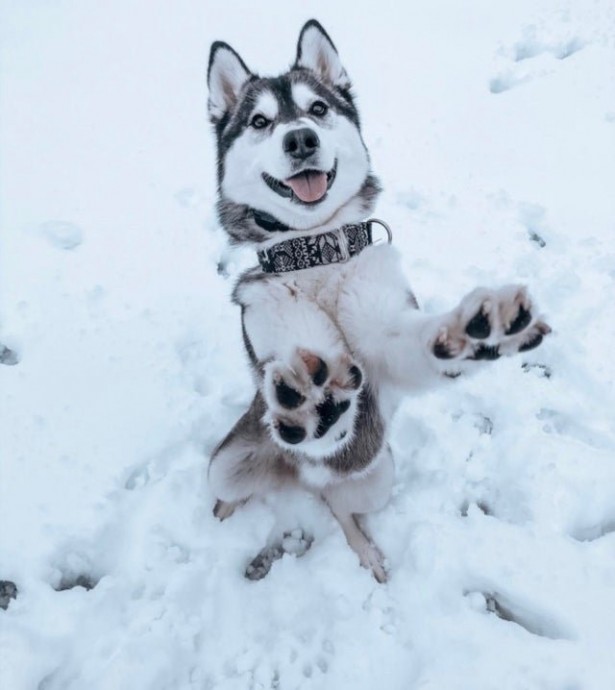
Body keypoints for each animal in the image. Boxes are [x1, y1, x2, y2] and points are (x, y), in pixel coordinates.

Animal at [205, 18, 552, 580]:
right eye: (260, 121)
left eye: (318, 109)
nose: (300, 138)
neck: (317, 253)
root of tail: (299, 479)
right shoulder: (278, 338)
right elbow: (304, 372)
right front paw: (308, 402)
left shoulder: (386, 339)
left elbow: (411, 344)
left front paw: (477, 331)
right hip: (226, 462)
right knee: (240, 484)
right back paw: (225, 507)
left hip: (380, 476)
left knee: (342, 509)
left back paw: (363, 548)